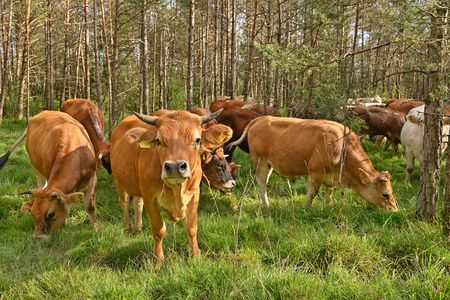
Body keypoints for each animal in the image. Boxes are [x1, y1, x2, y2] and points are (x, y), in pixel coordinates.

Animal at [229, 115, 398, 211]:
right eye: (385, 194)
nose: (395, 210)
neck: (341, 147)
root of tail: (259, 119)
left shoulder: (331, 177)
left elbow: (329, 192)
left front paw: (329, 205)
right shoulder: (316, 172)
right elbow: (312, 193)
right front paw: (307, 208)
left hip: (269, 163)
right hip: (261, 161)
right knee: (261, 182)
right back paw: (266, 205)